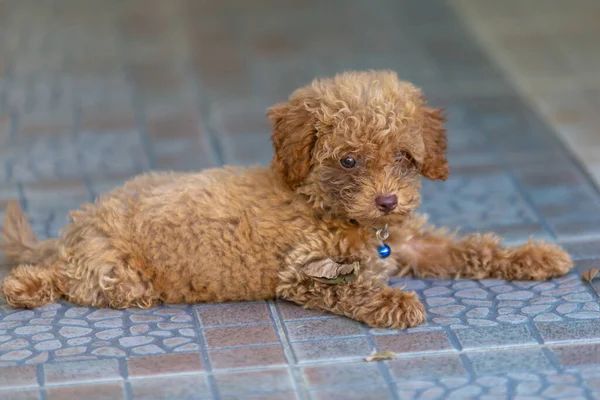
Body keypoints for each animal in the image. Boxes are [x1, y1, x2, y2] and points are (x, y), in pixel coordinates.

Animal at [0, 71, 572, 328]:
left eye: (404, 158)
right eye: (349, 161)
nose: (388, 202)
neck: (329, 206)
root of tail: (74, 229)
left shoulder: (411, 245)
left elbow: (466, 248)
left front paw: (532, 255)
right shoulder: (302, 271)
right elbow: (350, 288)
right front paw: (391, 302)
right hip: (119, 276)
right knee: (69, 279)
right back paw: (24, 286)